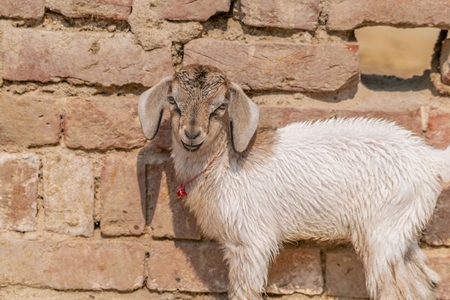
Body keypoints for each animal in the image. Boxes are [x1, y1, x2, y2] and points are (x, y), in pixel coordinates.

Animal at [139, 63, 448, 300]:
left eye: (221, 107)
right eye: (173, 102)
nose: (192, 135)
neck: (223, 165)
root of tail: (427, 157)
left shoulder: (250, 243)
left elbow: (243, 292)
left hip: (380, 231)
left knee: (394, 289)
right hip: (401, 230)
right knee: (422, 283)